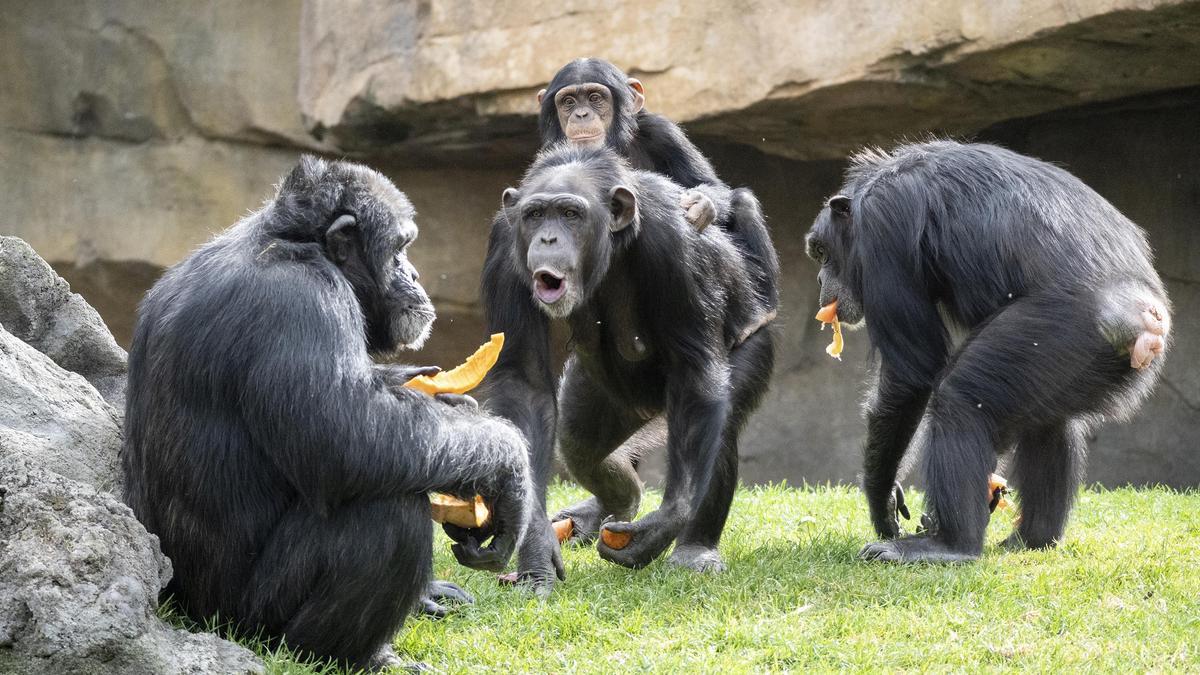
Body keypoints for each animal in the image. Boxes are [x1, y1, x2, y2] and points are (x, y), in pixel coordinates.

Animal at [121, 156, 561, 667]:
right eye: (400, 248)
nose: (415, 274)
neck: (302, 246)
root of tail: (179, 603)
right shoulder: (300, 304)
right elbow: (348, 435)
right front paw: (508, 468)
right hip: (248, 618)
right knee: (388, 508)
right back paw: (360, 657)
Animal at [468, 142, 777, 571]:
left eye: (570, 213)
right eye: (534, 215)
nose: (547, 239)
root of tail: (651, 408)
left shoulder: (674, 242)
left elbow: (695, 367)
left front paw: (665, 523)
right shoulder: (503, 244)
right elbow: (523, 380)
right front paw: (533, 538)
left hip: (752, 338)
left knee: (718, 418)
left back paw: (694, 548)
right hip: (600, 395)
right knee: (581, 446)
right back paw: (617, 503)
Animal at [540, 57, 782, 309]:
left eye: (595, 98)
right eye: (568, 102)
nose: (581, 114)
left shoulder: (664, 133)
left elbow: (710, 183)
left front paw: (701, 204)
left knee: (743, 202)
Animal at [806, 140, 1171, 562]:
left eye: (822, 252)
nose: (820, 279)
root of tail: (1147, 321)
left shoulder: (883, 232)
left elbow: (911, 372)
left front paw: (882, 498)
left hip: (1062, 328)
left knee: (960, 400)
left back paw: (948, 544)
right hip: (1076, 359)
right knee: (1050, 424)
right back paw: (1032, 538)